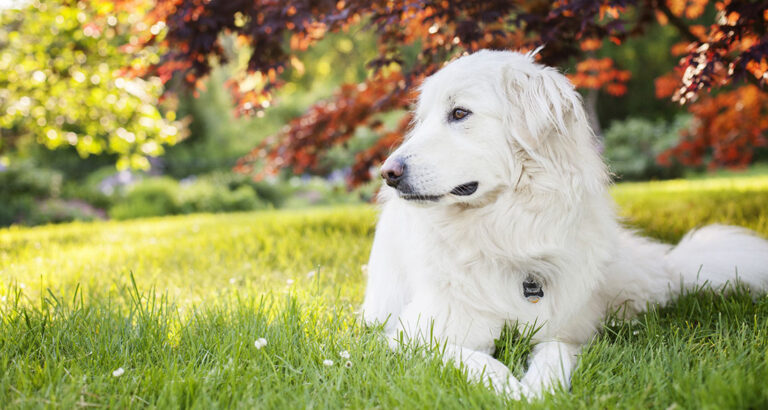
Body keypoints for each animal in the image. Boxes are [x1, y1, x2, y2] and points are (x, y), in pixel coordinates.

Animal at [360, 49, 768, 398]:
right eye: (423, 120)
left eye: (460, 113)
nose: (387, 173)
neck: (505, 232)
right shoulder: (416, 336)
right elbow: (476, 360)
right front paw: (511, 391)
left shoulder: (564, 331)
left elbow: (555, 355)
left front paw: (539, 390)